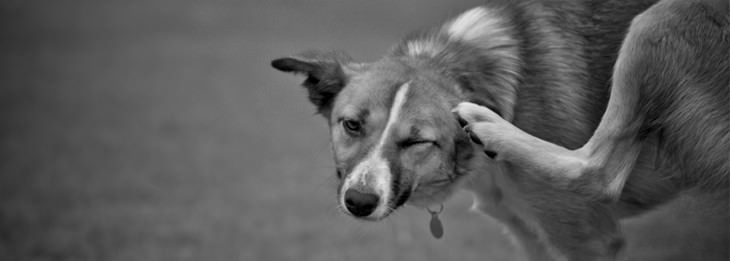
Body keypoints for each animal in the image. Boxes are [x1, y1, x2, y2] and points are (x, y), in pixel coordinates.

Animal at [270, 0, 724, 258]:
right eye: (351, 125)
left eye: (417, 141)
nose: (359, 202)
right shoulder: (530, 233)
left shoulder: (588, 239)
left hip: (660, 18)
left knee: (600, 171)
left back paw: (491, 127)